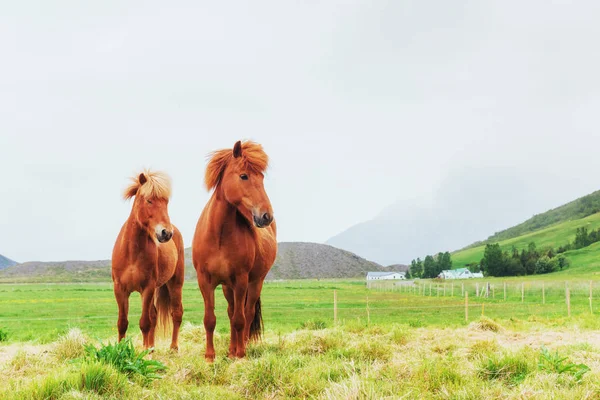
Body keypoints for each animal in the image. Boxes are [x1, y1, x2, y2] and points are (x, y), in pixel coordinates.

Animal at [110, 170, 185, 350]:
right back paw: (152, 347)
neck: (131, 253)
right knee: (155, 315)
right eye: (149, 200)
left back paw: (173, 348)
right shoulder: (120, 289)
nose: (166, 233)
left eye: (166, 202)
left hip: (175, 283)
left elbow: (144, 322)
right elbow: (122, 323)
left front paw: (143, 351)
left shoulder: (147, 288)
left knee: (176, 313)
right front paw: (122, 349)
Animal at [192, 140, 276, 360]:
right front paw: (210, 356)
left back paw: (241, 346)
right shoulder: (205, 281)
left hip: (255, 283)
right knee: (231, 312)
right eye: (244, 176)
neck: (219, 236)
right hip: (226, 286)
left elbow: (240, 318)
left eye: (262, 177)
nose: (266, 216)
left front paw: (240, 354)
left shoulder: (241, 280)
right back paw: (230, 349)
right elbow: (210, 319)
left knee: (247, 313)